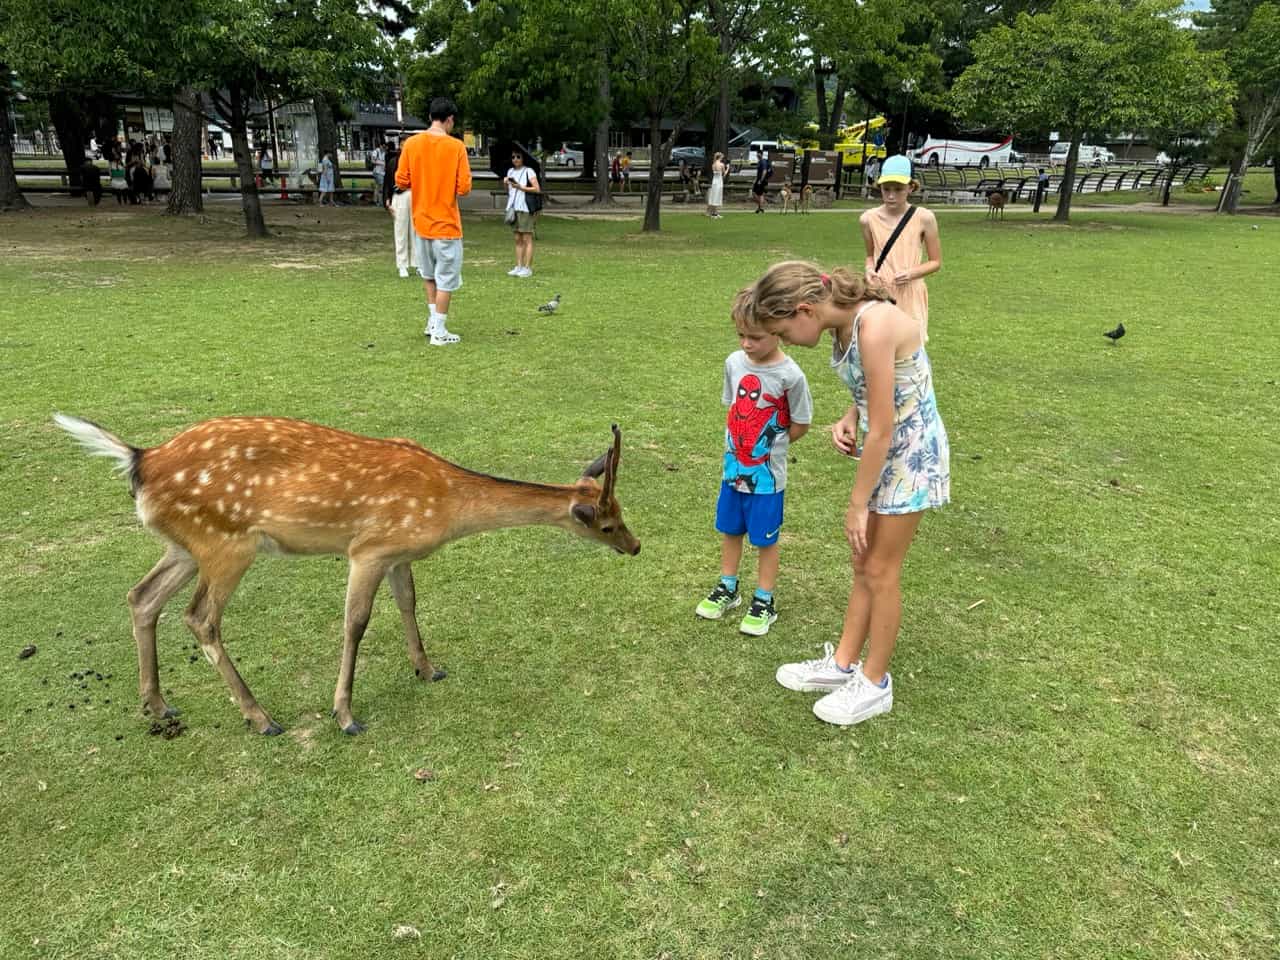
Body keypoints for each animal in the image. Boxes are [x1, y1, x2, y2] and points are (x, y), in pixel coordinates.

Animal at [53, 414, 640, 737]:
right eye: (608, 523)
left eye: (621, 513)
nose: (635, 545)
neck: (446, 508)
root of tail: (140, 460)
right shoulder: (368, 549)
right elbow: (355, 623)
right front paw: (345, 715)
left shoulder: (400, 554)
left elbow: (409, 603)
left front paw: (428, 669)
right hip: (226, 544)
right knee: (200, 618)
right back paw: (261, 717)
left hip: (183, 544)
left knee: (141, 596)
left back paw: (156, 704)